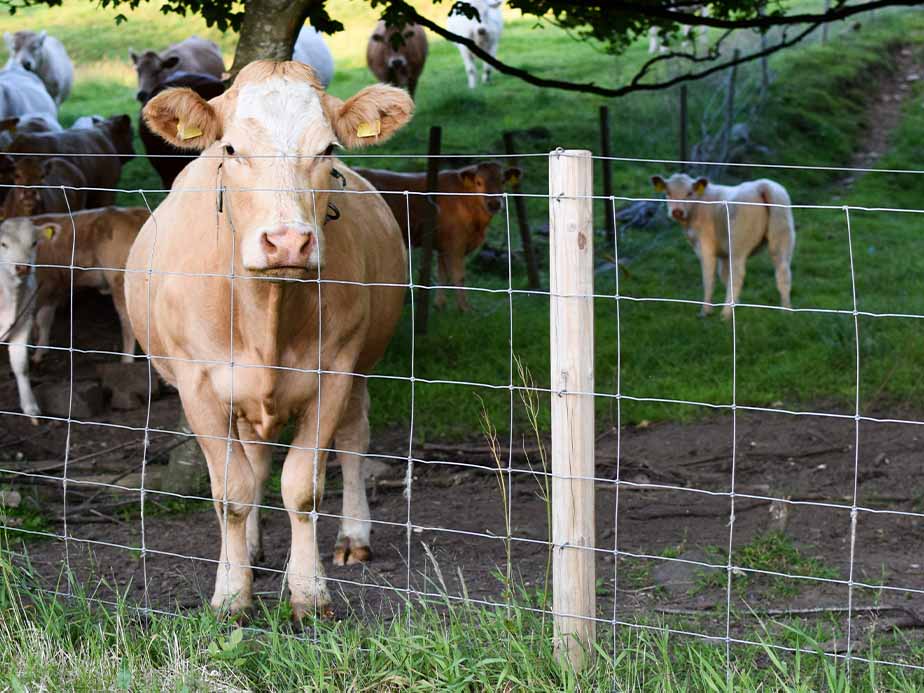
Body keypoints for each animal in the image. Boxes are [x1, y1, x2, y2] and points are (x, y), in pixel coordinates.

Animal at [0, 208, 147, 418]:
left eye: (34, 243)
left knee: (127, 322)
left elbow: (41, 319)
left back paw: (127, 361)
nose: (21, 267)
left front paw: (37, 353)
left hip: (121, 281)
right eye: (3, 244)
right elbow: (43, 320)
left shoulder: (45, 286)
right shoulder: (53, 287)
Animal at [125, 60, 413, 617]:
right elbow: (231, 490)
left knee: (353, 441)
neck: (268, 313)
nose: (287, 242)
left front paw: (309, 592)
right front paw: (232, 592)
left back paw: (353, 537)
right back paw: (252, 550)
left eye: (327, 149)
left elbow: (303, 488)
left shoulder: (333, 373)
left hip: (361, 366)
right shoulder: (199, 386)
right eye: (231, 148)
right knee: (254, 464)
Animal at [355, 162, 520, 311]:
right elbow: (458, 275)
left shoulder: (443, 245)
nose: (494, 203)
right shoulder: (456, 243)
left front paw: (439, 305)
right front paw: (465, 308)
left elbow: (442, 274)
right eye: (479, 182)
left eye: (503, 181)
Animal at [651, 173, 796, 319]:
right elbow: (724, 275)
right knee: (783, 272)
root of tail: (762, 185)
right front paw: (737, 303)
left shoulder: (706, 247)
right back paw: (786, 311)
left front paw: (706, 311)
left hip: (738, 244)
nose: (677, 211)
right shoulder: (724, 253)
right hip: (782, 237)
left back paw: (725, 314)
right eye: (668, 192)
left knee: (737, 275)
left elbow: (709, 278)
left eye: (689, 193)